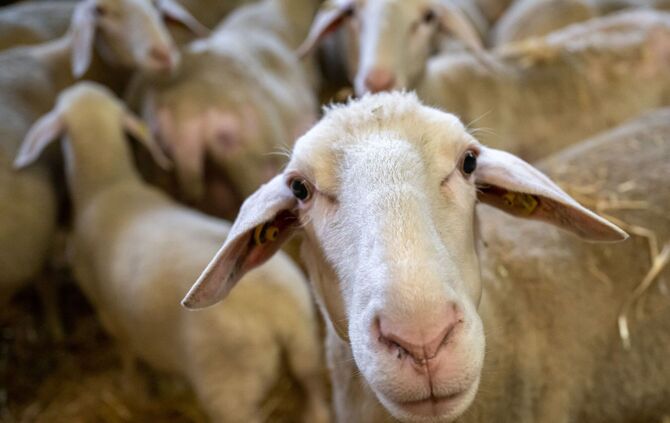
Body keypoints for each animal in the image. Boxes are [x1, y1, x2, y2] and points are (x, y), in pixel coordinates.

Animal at [14, 82, 331, 423]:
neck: (107, 186)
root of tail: (278, 312)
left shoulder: (109, 313)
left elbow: (128, 354)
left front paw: (134, 390)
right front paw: (169, 385)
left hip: (230, 385)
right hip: (306, 347)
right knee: (315, 396)